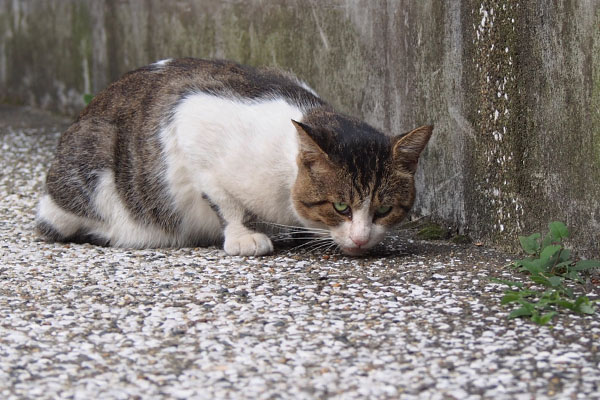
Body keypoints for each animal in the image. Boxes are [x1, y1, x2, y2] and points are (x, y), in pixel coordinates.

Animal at [36, 57, 432, 256]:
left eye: (384, 209)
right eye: (340, 207)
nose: (362, 239)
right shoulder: (191, 124)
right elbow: (226, 202)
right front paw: (244, 236)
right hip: (95, 158)